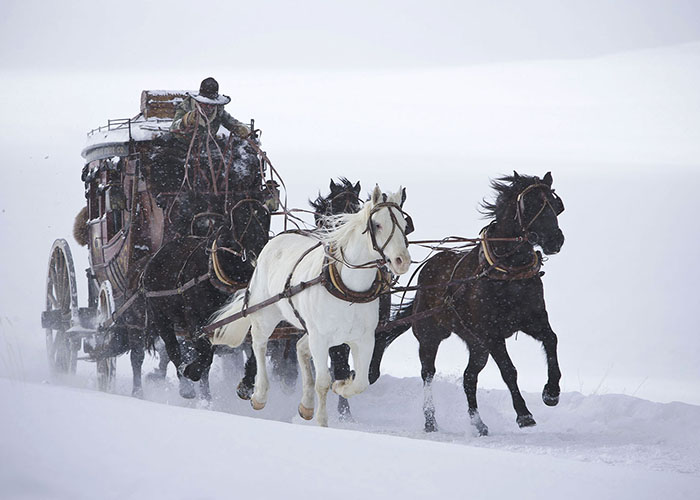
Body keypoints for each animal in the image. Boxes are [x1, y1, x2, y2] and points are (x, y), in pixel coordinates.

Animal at [211, 186, 412, 428]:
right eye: (378, 224)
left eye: (405, 225)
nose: (402, 260)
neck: (348, 289)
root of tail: (276, 239)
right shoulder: (321, 337)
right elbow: (322, 382)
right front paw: (323, 422)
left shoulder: (363, 339)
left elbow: (360, 382)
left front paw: (341, 386)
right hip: (265, 314)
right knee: (259, 345)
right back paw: (259, 395)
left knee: (299, 348)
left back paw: (306, 404)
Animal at [372, 172, 564, 434]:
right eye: (531, 204)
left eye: (555, 205)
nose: (556, 240)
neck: (508, 272)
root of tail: (427, 271)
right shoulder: (492, 334)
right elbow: (509, 370)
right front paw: (523, 414)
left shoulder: (532, 320)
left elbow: (551, 340)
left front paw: (551, 392)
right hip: (431, 335)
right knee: (428, 373)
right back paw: (430, 420)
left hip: (476, 345)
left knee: (468, 377)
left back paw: (478, 423)